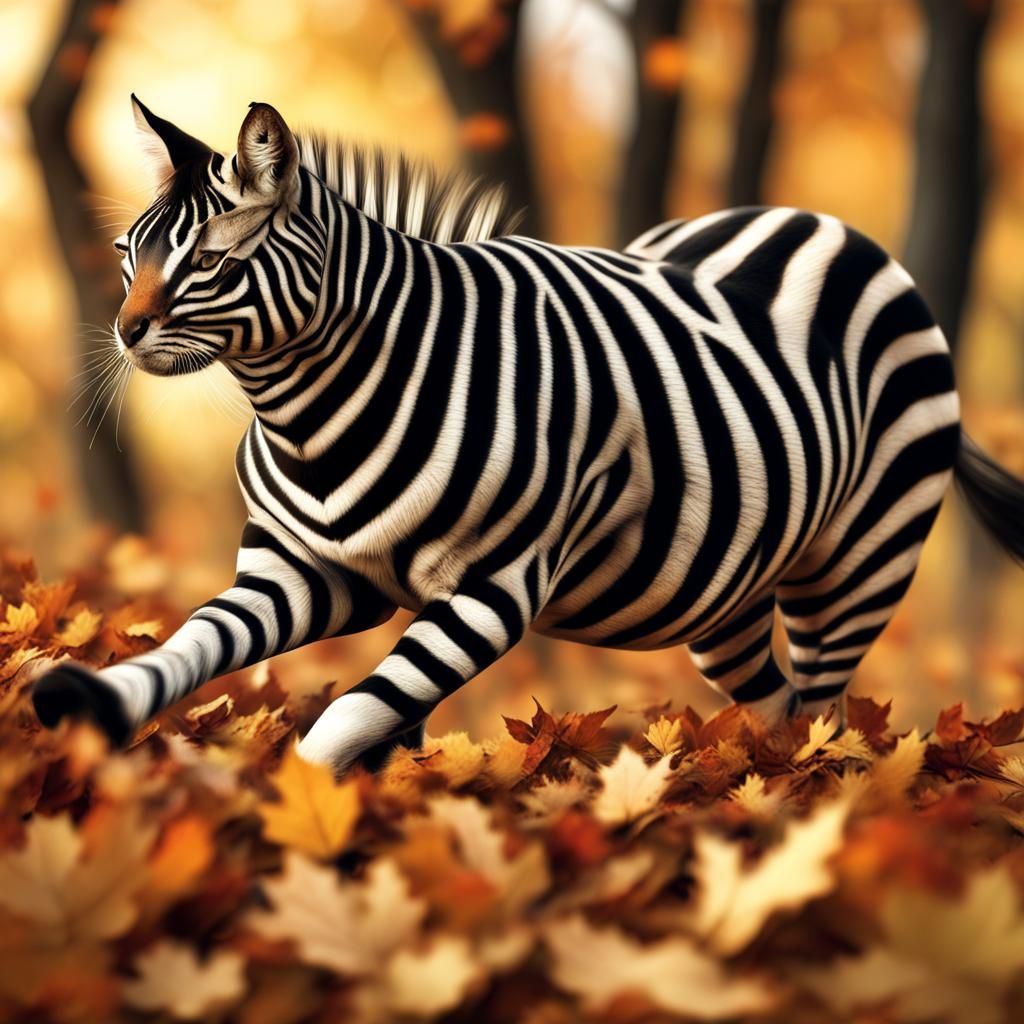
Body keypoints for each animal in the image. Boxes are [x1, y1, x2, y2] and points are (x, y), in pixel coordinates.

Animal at [32, 98, 1024, 774]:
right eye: (127, 254)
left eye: (207, 260)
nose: (123, 333)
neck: (312, 416)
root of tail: (816, 221)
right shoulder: (300, 573)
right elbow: (196, 643)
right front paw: (92, 702)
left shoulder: (489, 589)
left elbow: (346, 720)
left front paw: (298, 817)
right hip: (728, 590)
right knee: (780, 712)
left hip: (857, 562)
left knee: (824, 712)